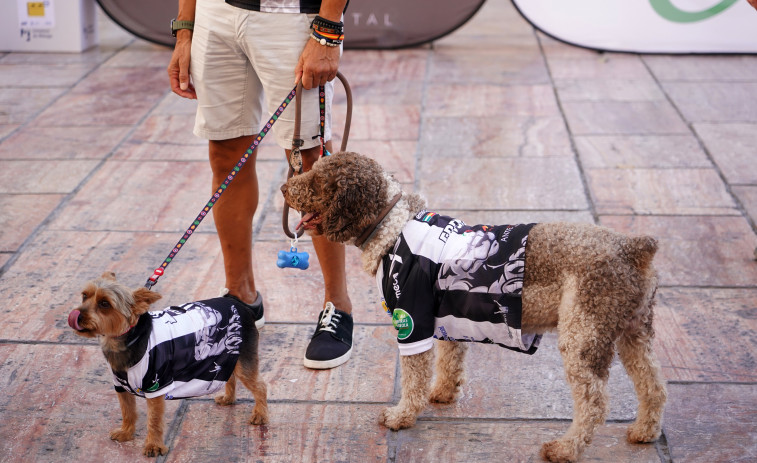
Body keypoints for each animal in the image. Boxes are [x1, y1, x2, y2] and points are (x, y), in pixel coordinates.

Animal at [282, 152, 668, 463]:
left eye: (318, 181)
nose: (285, 187)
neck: (392, 226)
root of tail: (633, 248)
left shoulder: (412, 320)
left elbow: (414, 378)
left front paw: (402, 416)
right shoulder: (446, 316)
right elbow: (449, 360)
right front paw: (443, 393)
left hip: (583, 336)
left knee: (593, 403)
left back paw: (565, 449)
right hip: (634, 331)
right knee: (653, 384)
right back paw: (644, 432)